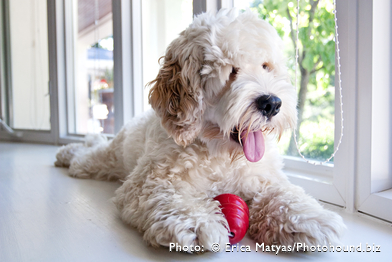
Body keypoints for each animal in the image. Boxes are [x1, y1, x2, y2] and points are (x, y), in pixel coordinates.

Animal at [55, 9, 344, 253]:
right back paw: (67, 153)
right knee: (88, 155)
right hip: (109, 158)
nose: (272, 103)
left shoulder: (264, 177)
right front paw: (197, 223)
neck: (221, 154)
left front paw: (308, 218)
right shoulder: (147, 183)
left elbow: (283, 194)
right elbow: (169, 198)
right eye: (231, 71)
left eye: (266, 66)